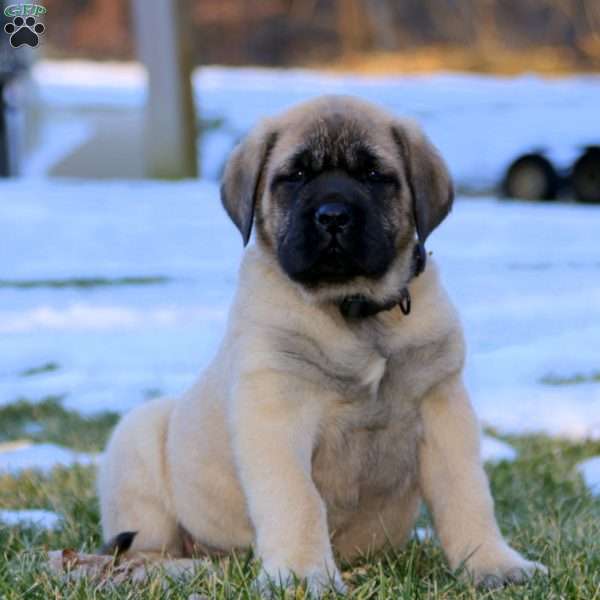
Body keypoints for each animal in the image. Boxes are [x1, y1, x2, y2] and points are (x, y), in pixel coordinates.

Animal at [99, 97, 548, 596]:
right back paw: (182, 568)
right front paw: (301, 574)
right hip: (139, 435)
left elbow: (467, 493)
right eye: (295, 176)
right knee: (143, 549)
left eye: (373, 174)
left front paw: (493, 564)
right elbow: (298, 500)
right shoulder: (276, 410)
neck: (356, 312)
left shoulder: (443, 406)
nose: (333, 215)